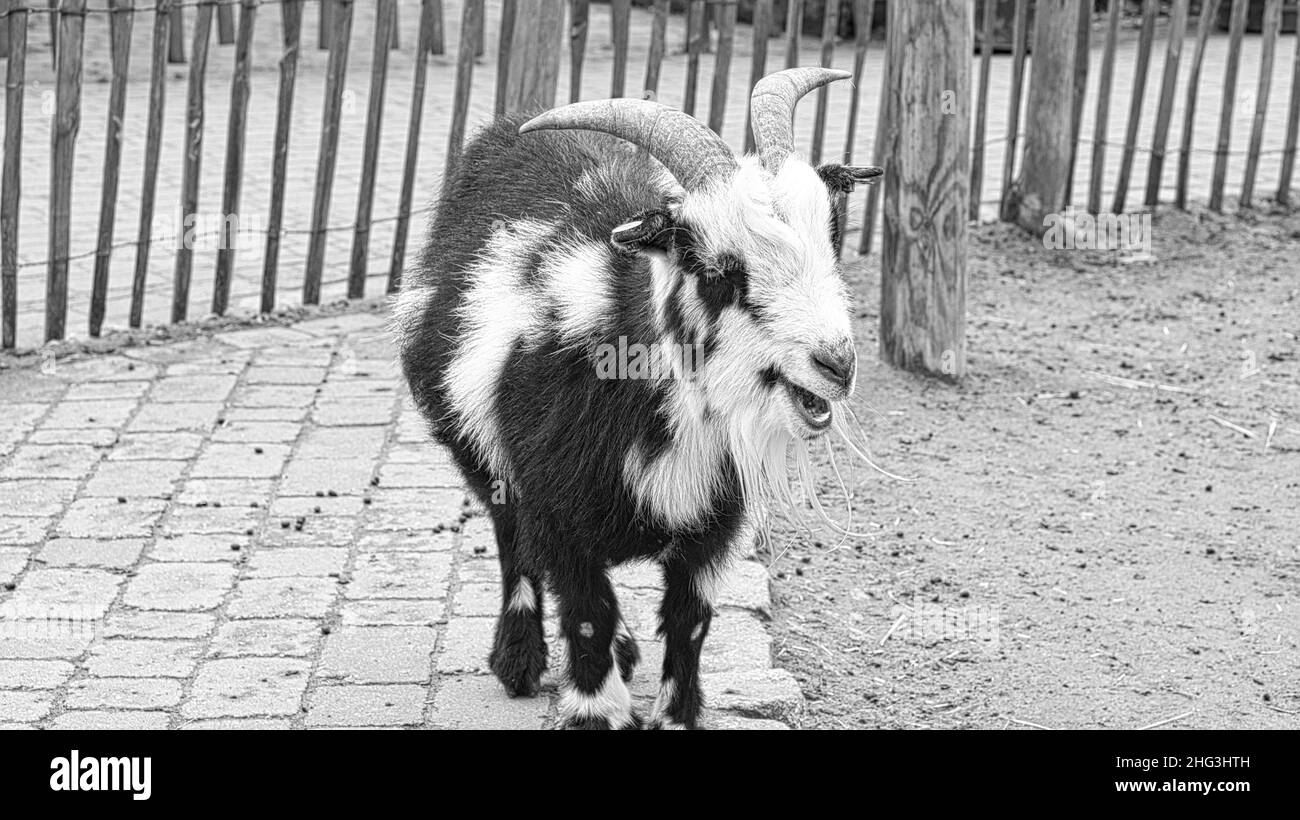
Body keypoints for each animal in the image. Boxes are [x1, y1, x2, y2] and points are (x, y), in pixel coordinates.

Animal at [395, 68, 882, 729]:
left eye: (832, 237)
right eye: (717, 270)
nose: (836, 363)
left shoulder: (713, 521)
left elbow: (689, 621)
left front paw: (676, 715)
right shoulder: (557, 509)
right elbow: (585, 611)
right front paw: (594, 711)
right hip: (480, 450)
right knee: (511, 541)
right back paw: (519, 658)